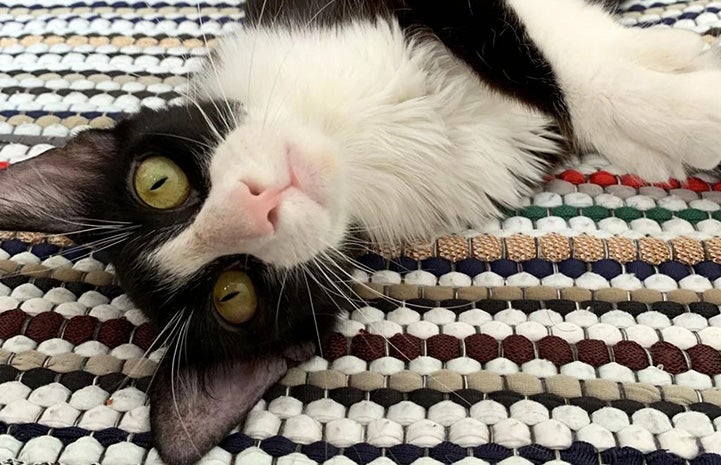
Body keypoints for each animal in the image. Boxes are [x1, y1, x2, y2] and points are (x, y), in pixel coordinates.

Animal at [1, 0, 720, 464]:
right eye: (234, 296)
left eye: (157, 183)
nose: (255, 207)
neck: (357, 139)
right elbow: (584, 89)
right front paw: (691, 117)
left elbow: (574, 65)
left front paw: (681, 92)